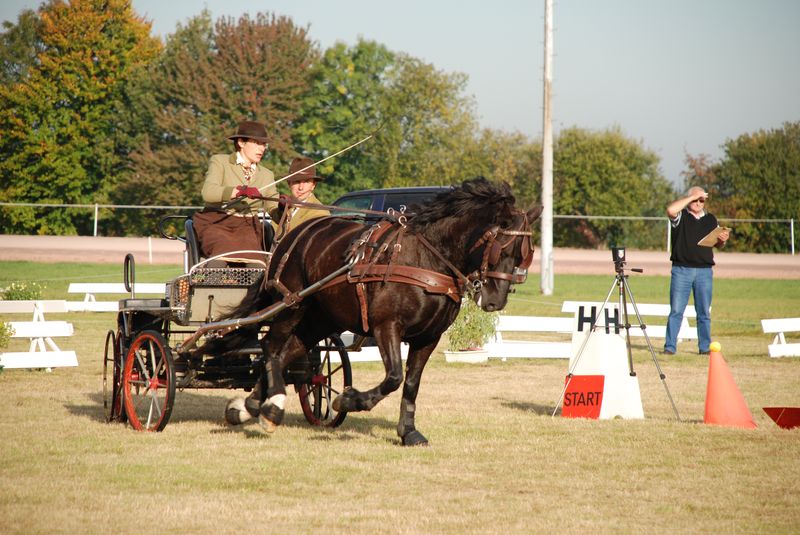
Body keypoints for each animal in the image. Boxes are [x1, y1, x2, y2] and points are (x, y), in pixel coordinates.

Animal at [222, 178, 540, 446]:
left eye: (524, 255)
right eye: (501, 248)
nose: (495, 301)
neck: (427, 258)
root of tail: (294, 236)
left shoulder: (429, 337)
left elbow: (411, 384)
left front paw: (408, 432)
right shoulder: (387, 326)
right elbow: (394, 377)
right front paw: (348, 401)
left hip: (320, 319)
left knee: (289, 351)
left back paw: (250, 406)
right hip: (292, 305)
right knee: (271, 347)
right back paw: (272, 407)